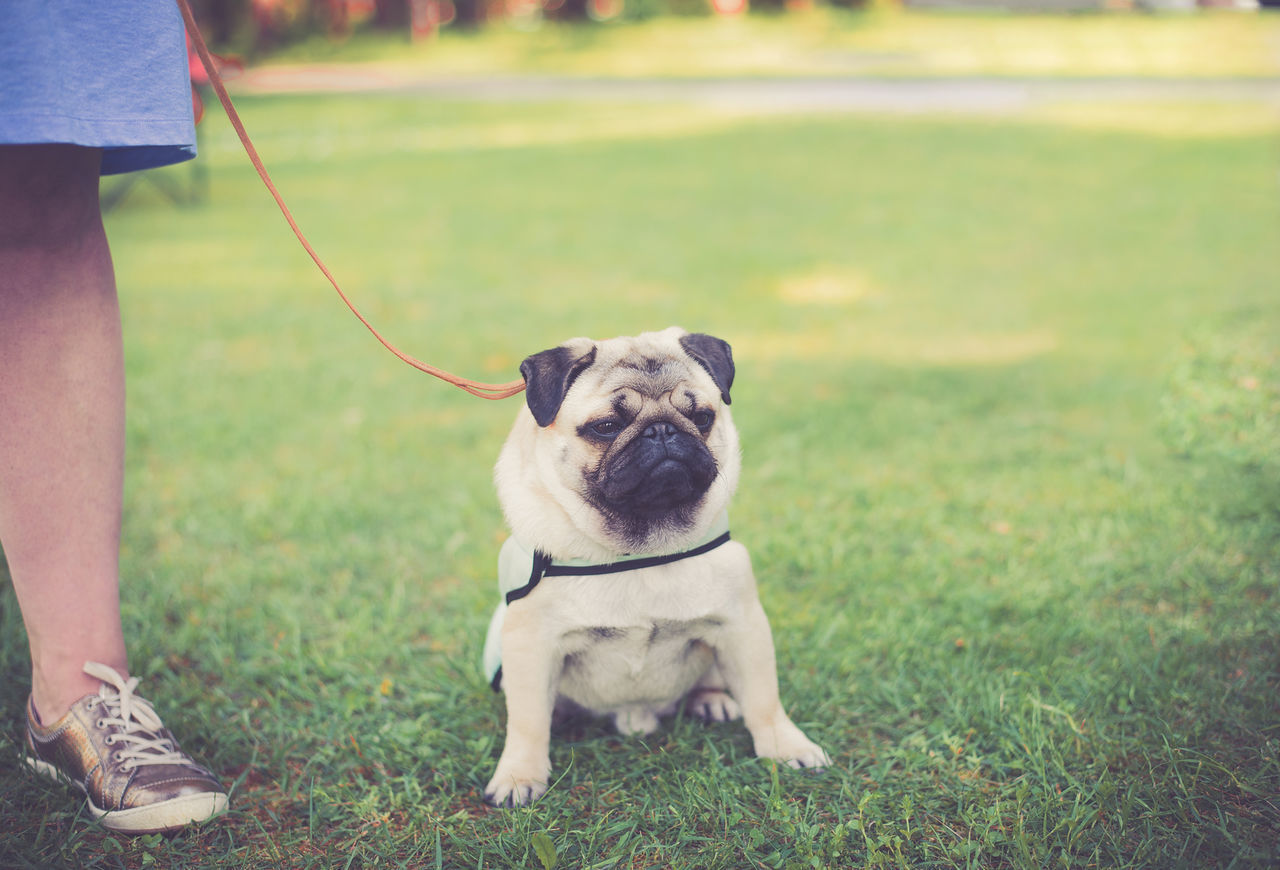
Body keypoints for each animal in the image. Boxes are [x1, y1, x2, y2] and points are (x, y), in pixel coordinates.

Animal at [481, 327, 829, 808]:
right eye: (606, 427)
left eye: (701, 416)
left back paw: (712, 700)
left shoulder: (743, 626)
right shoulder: (530, 645)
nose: (661, 430)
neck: (641, 547)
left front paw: (786, 746)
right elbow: (528, 722)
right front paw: (519, 776)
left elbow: (764, 699)